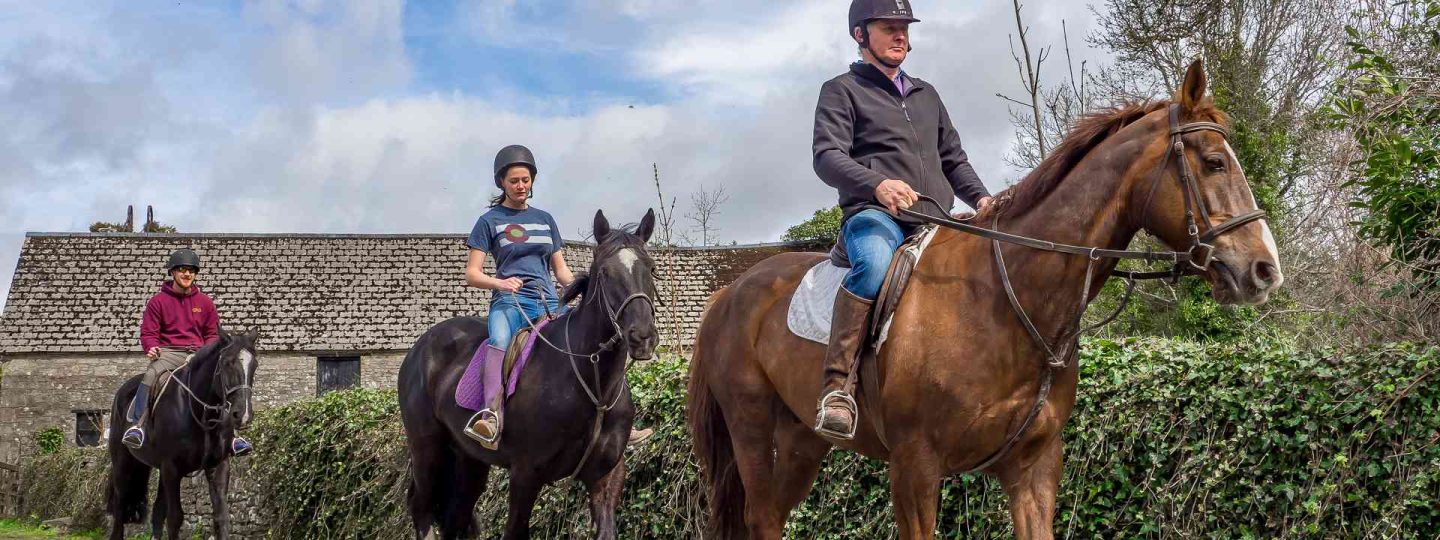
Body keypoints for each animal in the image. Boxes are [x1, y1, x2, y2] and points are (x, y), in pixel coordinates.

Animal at [106, 328, 260, 540]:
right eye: (227, 363)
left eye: (255, 365)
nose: (242, 414)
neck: (201, 414)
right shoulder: (172, 468)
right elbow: (175, 518)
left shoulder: (218, 466)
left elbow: (221, 517)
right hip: (123, 463)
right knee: (120, 509)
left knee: (157, 512)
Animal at [399, 209, 660, 540]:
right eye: (605, 273)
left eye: (651, 269)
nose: (642, 337)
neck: (593, 386)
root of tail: (419, 348)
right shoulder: (525, 474)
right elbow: (515, 531)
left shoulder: (607, 474)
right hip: (427, 448)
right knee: (421, 507)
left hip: (468, 459)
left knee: (456, 516)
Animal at [687, 59, 1284, 539]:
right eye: (1214, 162)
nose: (1264, 270)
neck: (1005, 302)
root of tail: (728, 295)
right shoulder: (915, 469)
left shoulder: (1033, 469)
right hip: (751, 429)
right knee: (762, 516)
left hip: (802, 441)